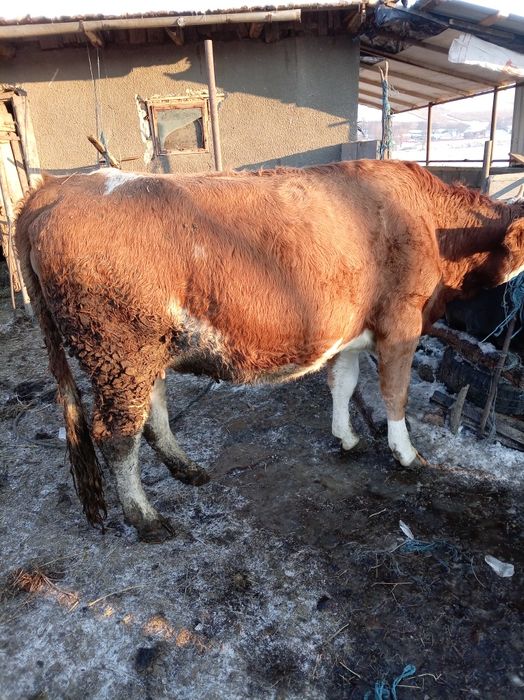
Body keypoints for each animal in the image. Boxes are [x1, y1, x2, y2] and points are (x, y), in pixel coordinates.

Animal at [15, 159, 524, 542]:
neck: (431, 223)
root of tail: (60, 184)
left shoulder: (350, 329)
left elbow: (343, 384)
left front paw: (346, 437)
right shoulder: (401, 322)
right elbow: (394, 394)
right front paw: (406, 454)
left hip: (144, 350)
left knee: (151, 414)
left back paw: (187, 469)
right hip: (118, 349)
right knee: (116, 435)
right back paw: (146, 518)